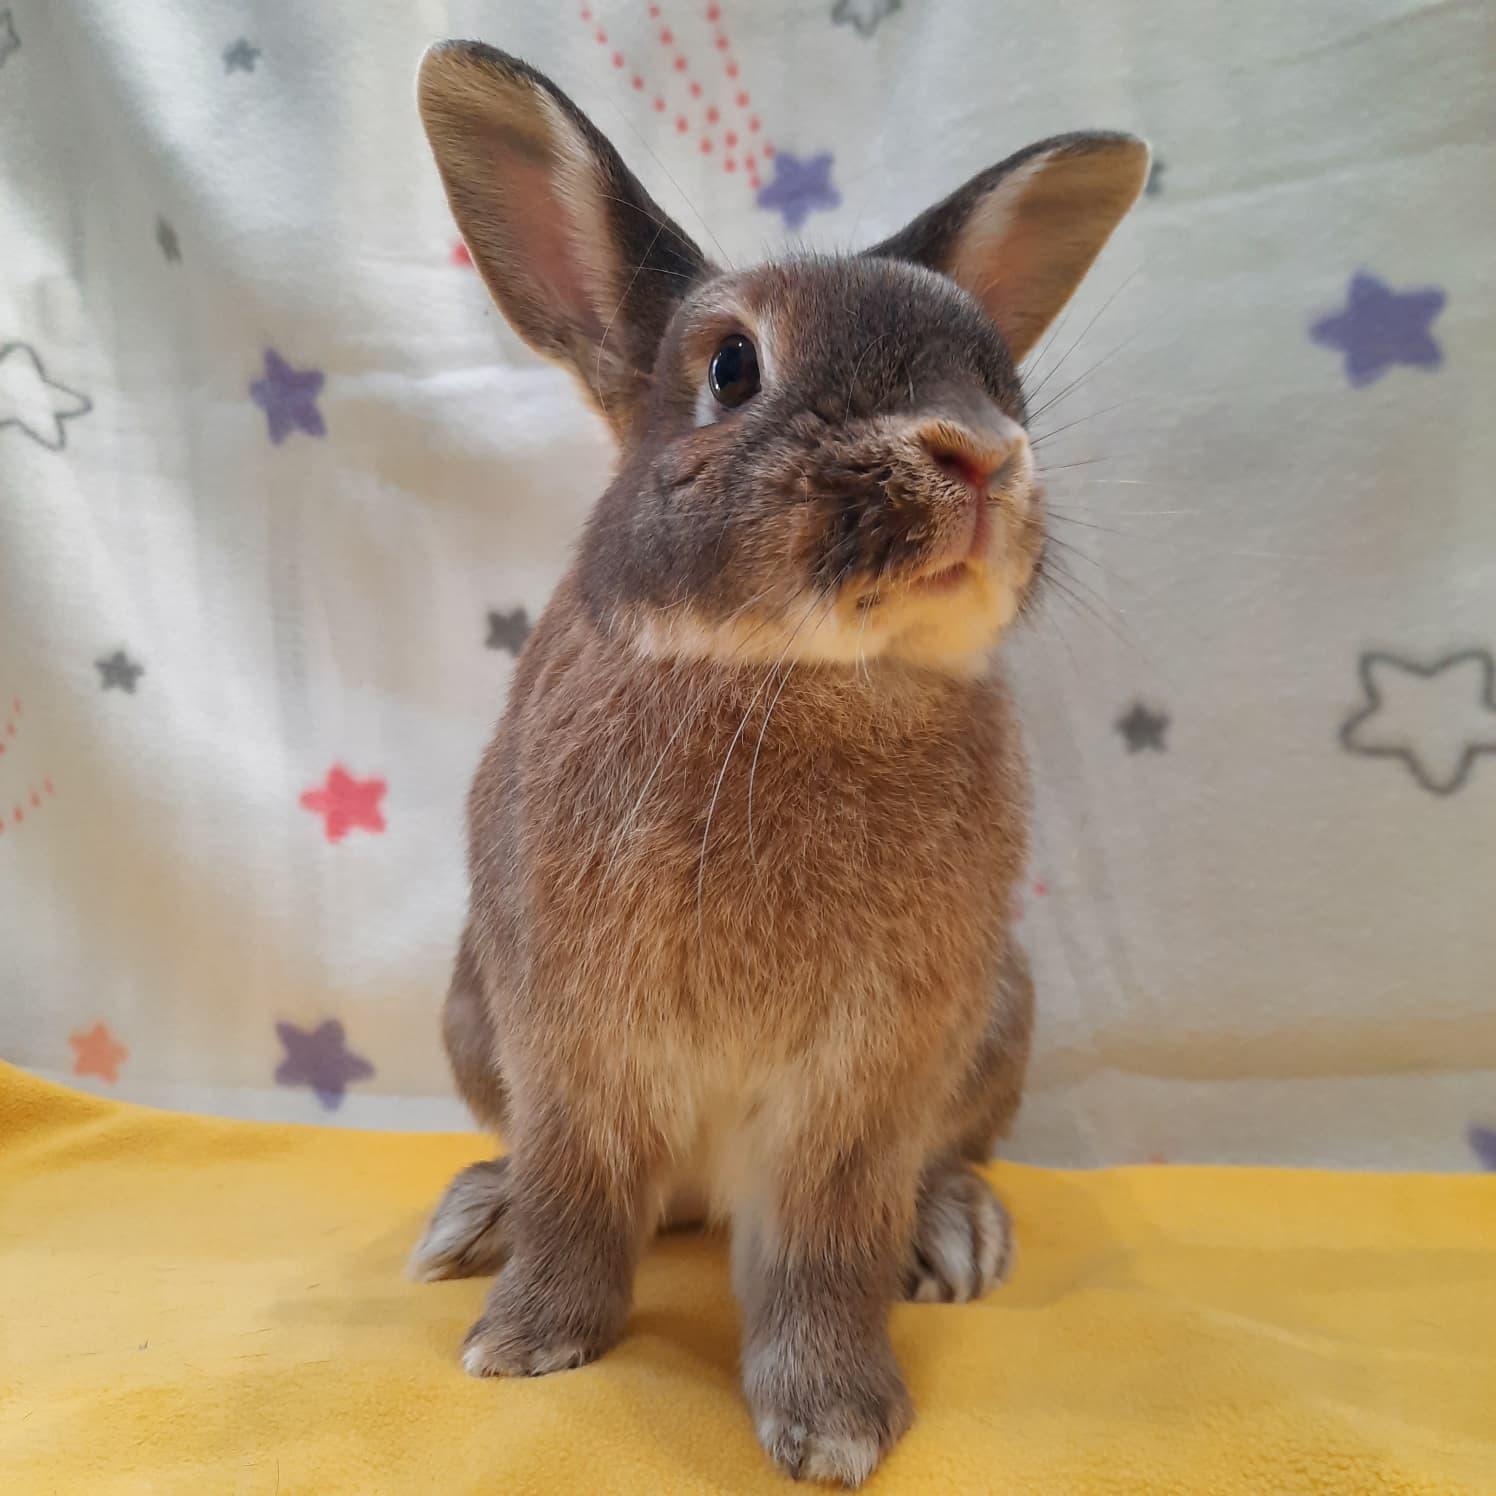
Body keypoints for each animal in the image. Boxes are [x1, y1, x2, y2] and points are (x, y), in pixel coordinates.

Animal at [409, 40, 1147, 1487]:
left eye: (1003, 382)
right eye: (732, 367)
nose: (981, 452)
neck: (804, 676)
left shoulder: (863, 1082)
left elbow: (823, 1247)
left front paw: (836, 1421)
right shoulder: (570, 1037)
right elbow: (577, 1195)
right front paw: (525, 1343)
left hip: (998, 1020)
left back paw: (955, 1230)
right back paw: (477, 1217)